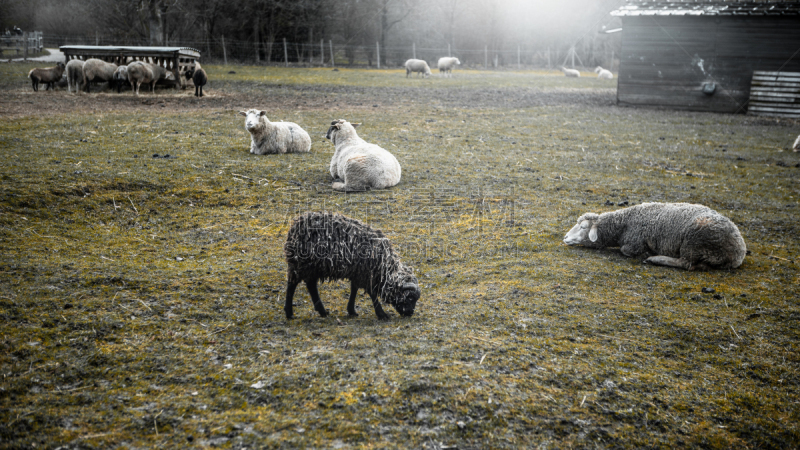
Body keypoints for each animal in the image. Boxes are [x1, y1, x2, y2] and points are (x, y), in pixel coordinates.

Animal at [282, 211, 422, 320]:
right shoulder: (366, 274)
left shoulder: (358, 272)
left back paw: (322, 311)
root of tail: (293, 228)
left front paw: (351, 310)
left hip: (312, 267)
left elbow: (354, 289)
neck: (383, 266)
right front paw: (382, 314)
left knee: (311, 286)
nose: (410, 313)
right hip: (300, 265)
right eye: (410, 298)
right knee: (292, 285)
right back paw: (289, 313)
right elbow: (372, 294)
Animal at [564, 203, 748, 270]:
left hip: (694, 241)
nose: (565, 237)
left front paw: (647, 253)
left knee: (686, 264)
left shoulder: (634, 243)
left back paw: (655, 259)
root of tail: (738, 253)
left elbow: (626, 250)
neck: (623, 224)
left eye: (583, 227)